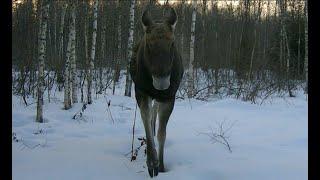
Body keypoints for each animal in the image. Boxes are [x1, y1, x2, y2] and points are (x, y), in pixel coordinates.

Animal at [129, 6, 184, 177]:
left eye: (172, 43)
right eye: (148, 43)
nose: (162, 82)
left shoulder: (169, 96)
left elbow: (162, 134)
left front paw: (161, 165)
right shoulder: (141, 92)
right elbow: (146, 123)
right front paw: (152, 163)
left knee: (155, 113)